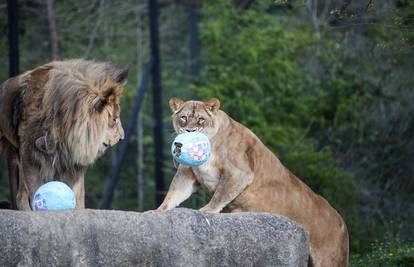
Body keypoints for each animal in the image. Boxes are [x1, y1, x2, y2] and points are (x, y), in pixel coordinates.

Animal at [0, 59, 128, 211]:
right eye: (114, 119)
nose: (122, 138)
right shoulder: (29, 153)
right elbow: (33, 187)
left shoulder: (73, 160)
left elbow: (78, 194)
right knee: (20, 193)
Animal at [157, 98, 348, 267]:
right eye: (184, 117)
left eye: (201, 120)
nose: (189, 131)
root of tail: (342, 222)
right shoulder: (187, 174)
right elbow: (173, 194)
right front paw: (157, 211)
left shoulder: (240, 172)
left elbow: (220, 195)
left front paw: (206, 211)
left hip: (330, 259)